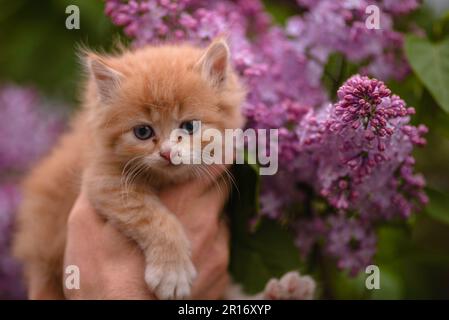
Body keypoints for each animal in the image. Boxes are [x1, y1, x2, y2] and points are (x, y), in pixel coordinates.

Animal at [12, 38, 314, 300]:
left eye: (189, 126)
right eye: (143, 132)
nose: (167, 153)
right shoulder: (102, 178)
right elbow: (153, 216)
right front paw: (173, 271)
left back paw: (288, 292)